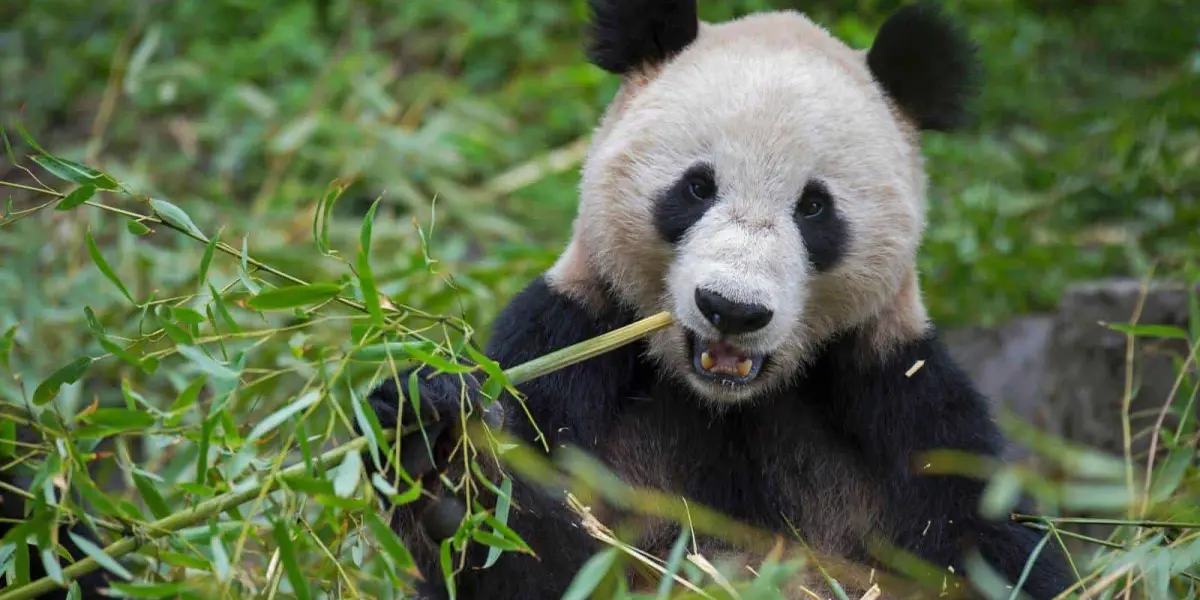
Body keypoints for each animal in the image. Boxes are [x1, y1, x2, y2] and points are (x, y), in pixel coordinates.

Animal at [362, 1, 1070, 600]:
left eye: (815, 207)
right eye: (696, 188)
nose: (732, 309)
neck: (725, 403)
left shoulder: (898, 395)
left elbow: (991, 546)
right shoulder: (569, 342)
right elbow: (532, 553)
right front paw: (441, 456)